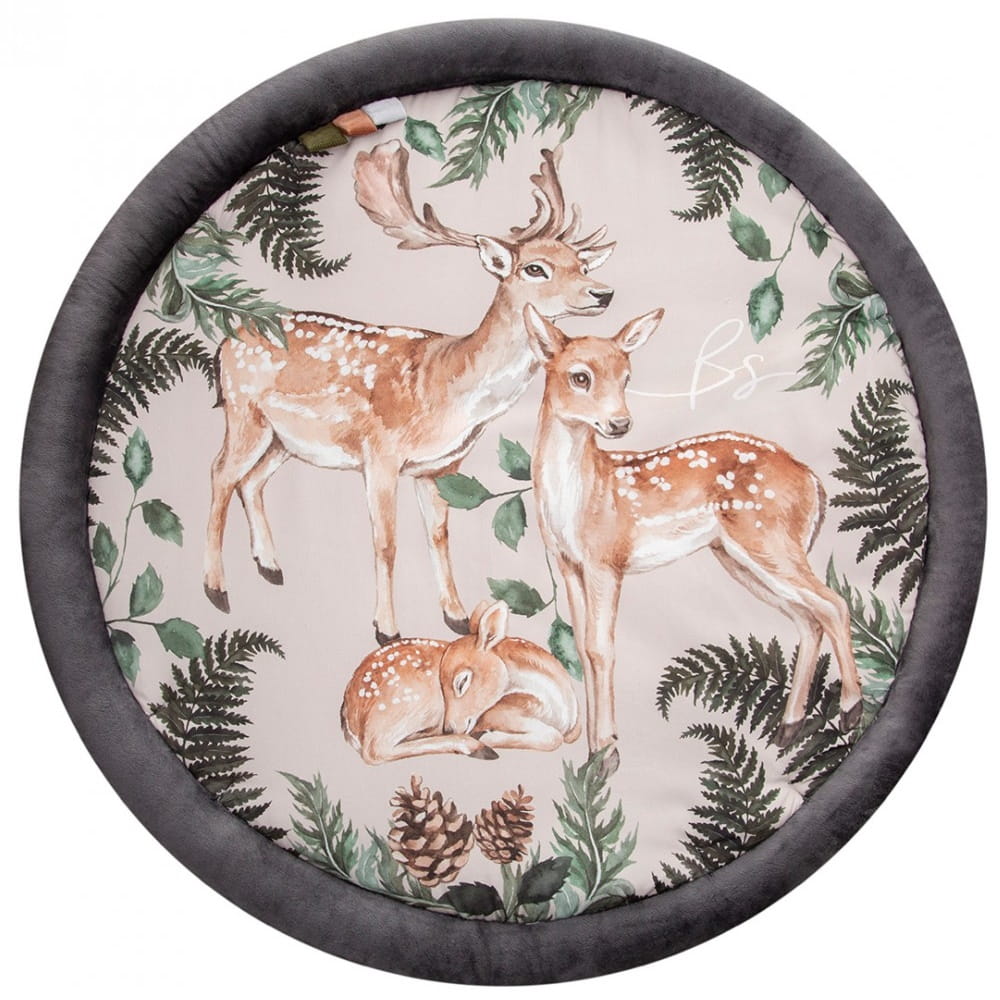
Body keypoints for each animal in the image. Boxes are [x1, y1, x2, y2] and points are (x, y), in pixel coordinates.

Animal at [204, 140, 616, 645]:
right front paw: (386, 629)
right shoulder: (380, 453)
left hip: (287, 439)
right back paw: (216, 589)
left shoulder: (437, 467)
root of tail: (224, 342)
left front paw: (456, 616)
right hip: (244, 412)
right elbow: (386, 543)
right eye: (535, 268)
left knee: (252, 481)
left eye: (581, 264)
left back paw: (270, 566)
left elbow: (438, 536)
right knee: (220, 474)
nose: (602, 293)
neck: (447, 389)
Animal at [340, 599, 581, 764]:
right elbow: (553, 737)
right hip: (408, 706)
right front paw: (488, 737)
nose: (449, 728)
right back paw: (478, 748)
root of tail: (351, 716)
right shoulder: (496, 713)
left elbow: (561, 737)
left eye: (462, 681)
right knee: (374, 751)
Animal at [523, 304, 863, 765]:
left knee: (835, 605)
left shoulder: (606, 559)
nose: (620, 422)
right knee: (808, 618)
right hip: (739, 556)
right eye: (580, 376)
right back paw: (789, 728)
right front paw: (594, 752)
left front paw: (608, 751)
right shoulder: (567, 563)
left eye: (627, 377)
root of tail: (815, 482)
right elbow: (582, 647)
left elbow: (600, 647)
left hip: (768, 539)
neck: (579, 497)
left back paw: (851, 709)